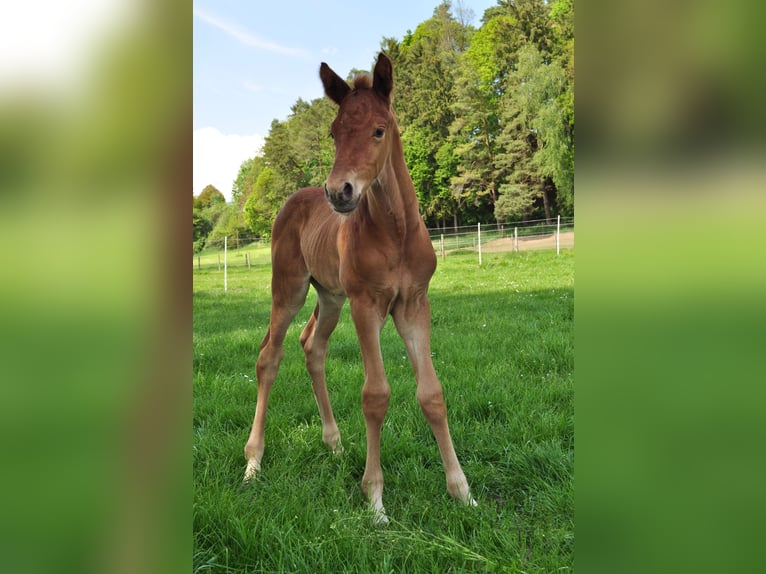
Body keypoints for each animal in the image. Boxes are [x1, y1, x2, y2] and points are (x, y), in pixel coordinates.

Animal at [243, 52, 475, 524]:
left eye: (378, 130)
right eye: (334, 133)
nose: (340, 191)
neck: (396, 231)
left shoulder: (413, 304)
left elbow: (432, 393)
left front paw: (461, 491)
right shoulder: (367, 305)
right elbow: (375, 394)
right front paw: (375, 501)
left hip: (330, 297)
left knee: (312, 346)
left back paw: (333, 444)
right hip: (290, 288)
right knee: (269, 356)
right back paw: (253, 462)